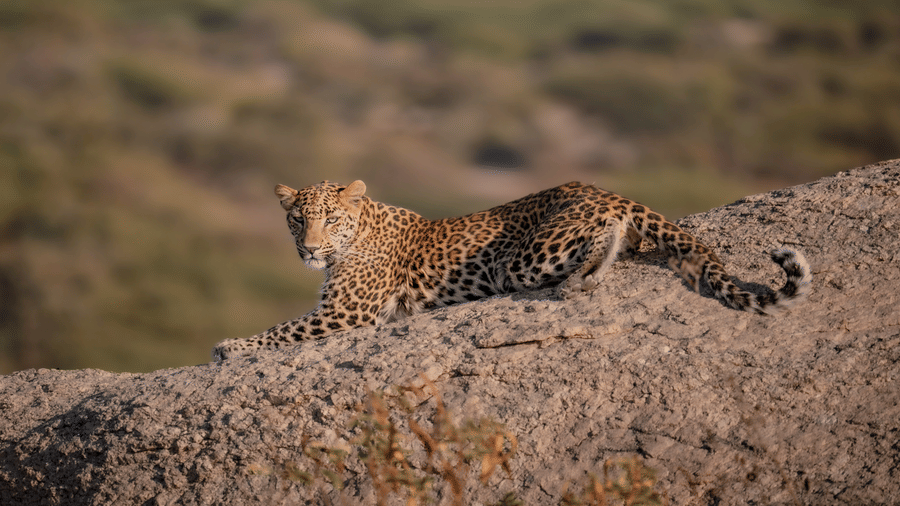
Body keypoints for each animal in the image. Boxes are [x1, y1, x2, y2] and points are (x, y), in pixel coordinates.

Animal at [212, 180, 811, 360]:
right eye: (296, 219)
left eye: (330, 219)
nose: (310, 249)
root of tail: (603, 188)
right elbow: (285, 326)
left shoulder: (346, 312)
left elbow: (282, 329)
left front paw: (230, 347)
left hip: (524, 258)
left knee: (608, 233)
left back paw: (583, 278)